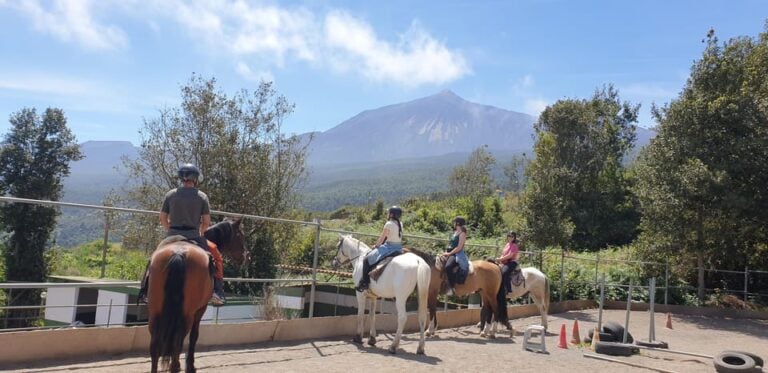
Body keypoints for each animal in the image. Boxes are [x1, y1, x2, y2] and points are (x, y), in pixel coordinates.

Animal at [148, 218, 246, 372]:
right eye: (240, 234)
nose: (245, 256)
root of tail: (178, 253)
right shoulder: (200, 309)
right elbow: (194, 335)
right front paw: (190, 365)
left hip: (155, 311)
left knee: (155, 346)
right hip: (186, 314)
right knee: (177, 341)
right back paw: (176, 366)